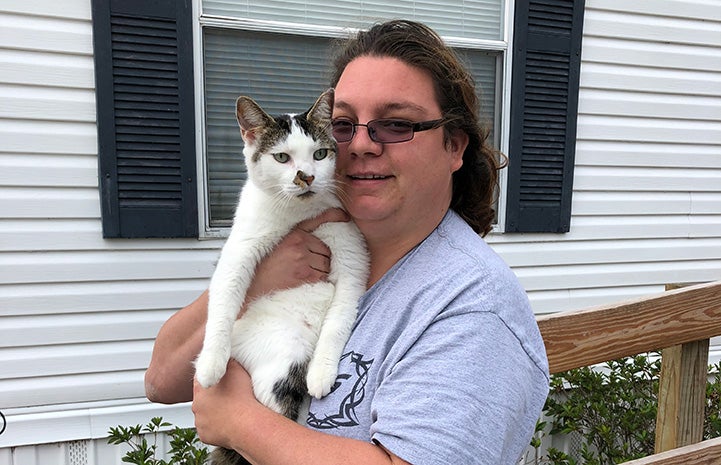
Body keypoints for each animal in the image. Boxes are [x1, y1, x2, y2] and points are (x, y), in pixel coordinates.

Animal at [194, 88, 368, 464]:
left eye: (319, 153)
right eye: (282, 157)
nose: (306, 176)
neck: (296, 214)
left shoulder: (352, 258)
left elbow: (340, 317)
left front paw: (322, 372)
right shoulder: (239, 249)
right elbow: (223, 301)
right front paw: (210, 363)